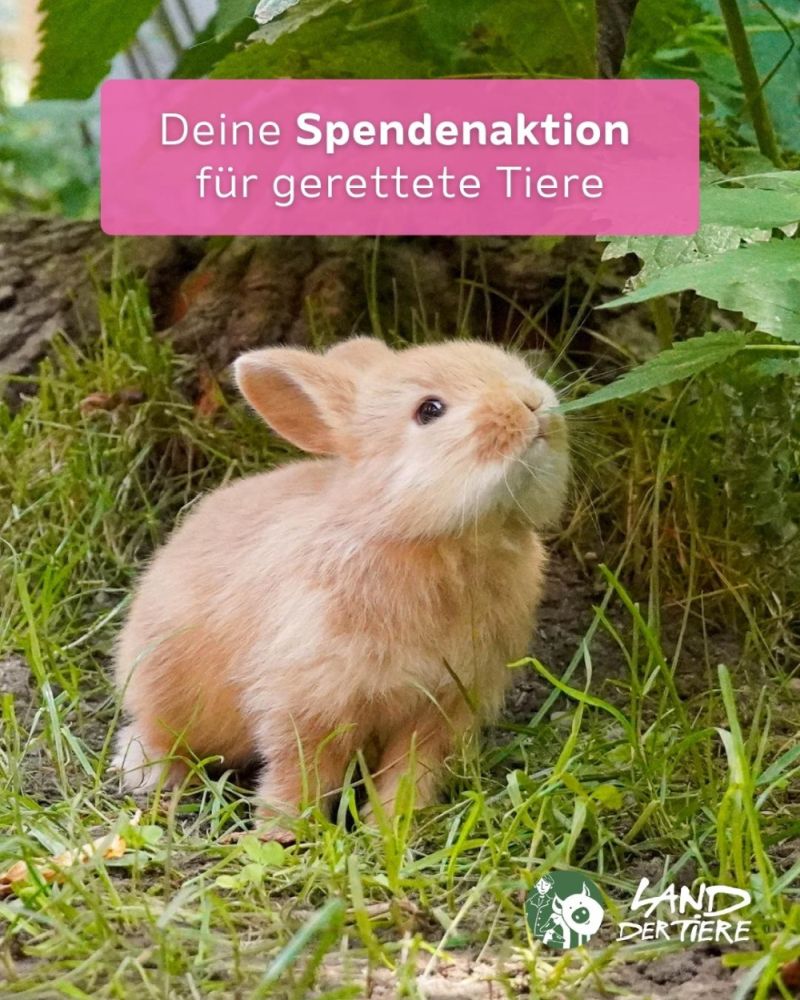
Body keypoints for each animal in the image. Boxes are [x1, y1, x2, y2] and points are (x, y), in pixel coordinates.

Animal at [112, 336, 569, 836]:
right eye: (429, 410)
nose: (532, 403)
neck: (420, 535)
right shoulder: (311, 700)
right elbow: (301, 772)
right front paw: (281, 831)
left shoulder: (444, 706)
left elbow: (412, 769)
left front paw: (392, 825)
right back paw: (145, 771)